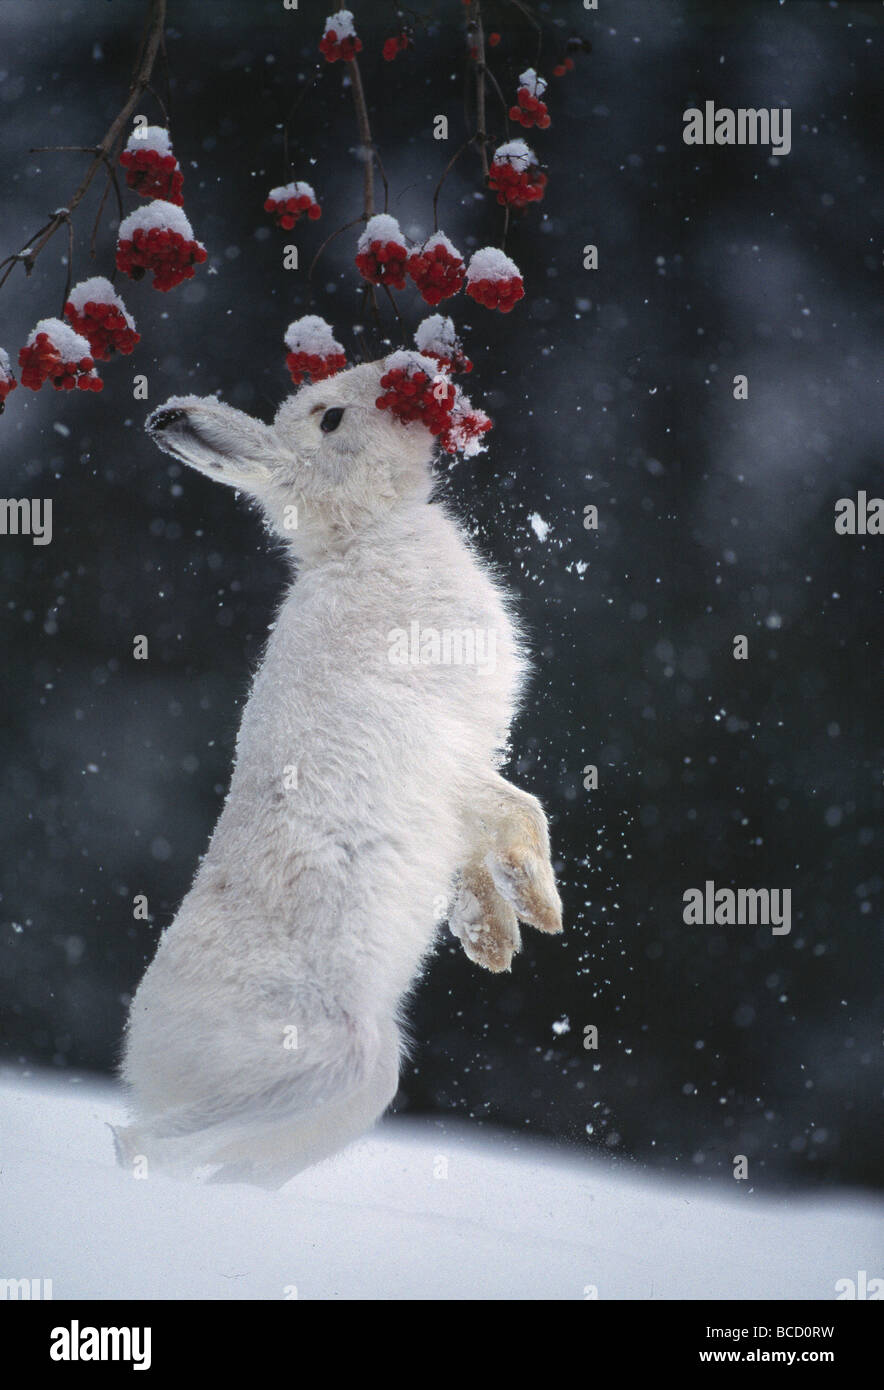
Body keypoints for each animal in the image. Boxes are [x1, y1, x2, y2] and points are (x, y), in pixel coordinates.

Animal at [113, 360, 562, 1187]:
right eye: (331, 420)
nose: (410, 372)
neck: (362, 536)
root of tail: (149, 1059)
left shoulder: (460, 792)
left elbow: (473, 865)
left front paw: (493, 945)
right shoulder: (451, 761)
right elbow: (524, 813)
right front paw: (541, 910)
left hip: (348, 1094)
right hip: (325, 1062)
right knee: (156, 1141)